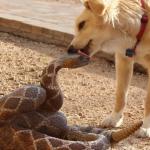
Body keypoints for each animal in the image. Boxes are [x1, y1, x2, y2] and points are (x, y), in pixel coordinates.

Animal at [67, 0, 150, 138]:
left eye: (81, 24)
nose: (69, 50)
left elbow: (148, 100)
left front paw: (147, 127)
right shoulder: (122, 58)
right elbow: (120, 94)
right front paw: (115, 119)